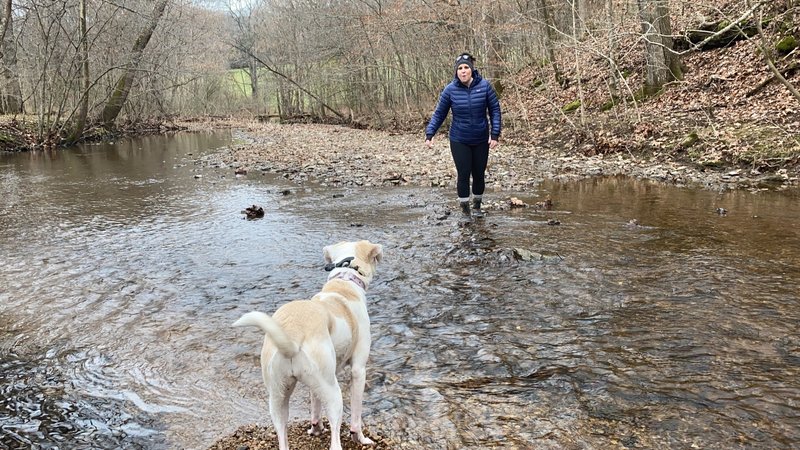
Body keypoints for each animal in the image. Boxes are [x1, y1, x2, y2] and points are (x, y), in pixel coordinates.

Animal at [233, 241, 382, 450]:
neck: (344, 280)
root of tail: (292, 335)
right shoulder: (358, 371)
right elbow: (356, 415)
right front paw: (360, 438)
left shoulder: (317, 385)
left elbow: (315, 406)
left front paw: (316, 429)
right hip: (333, 392)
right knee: (336, 437)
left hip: (279, 399)